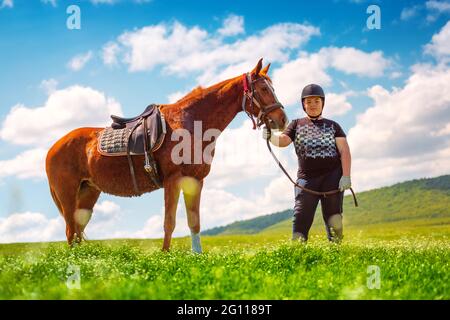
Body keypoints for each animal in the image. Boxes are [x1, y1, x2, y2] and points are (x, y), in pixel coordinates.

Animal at [44, 58, 284, 252]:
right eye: (263, 88)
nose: (281, 119)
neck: (191, 122)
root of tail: (52, 148)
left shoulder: (195, 181)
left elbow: (194, 222)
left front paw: (197, 256)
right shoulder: (173, 180)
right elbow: (169, 222)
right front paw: (165, 256)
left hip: (88, 194)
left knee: (77, 229)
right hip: (68, 193)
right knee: (70, 231)